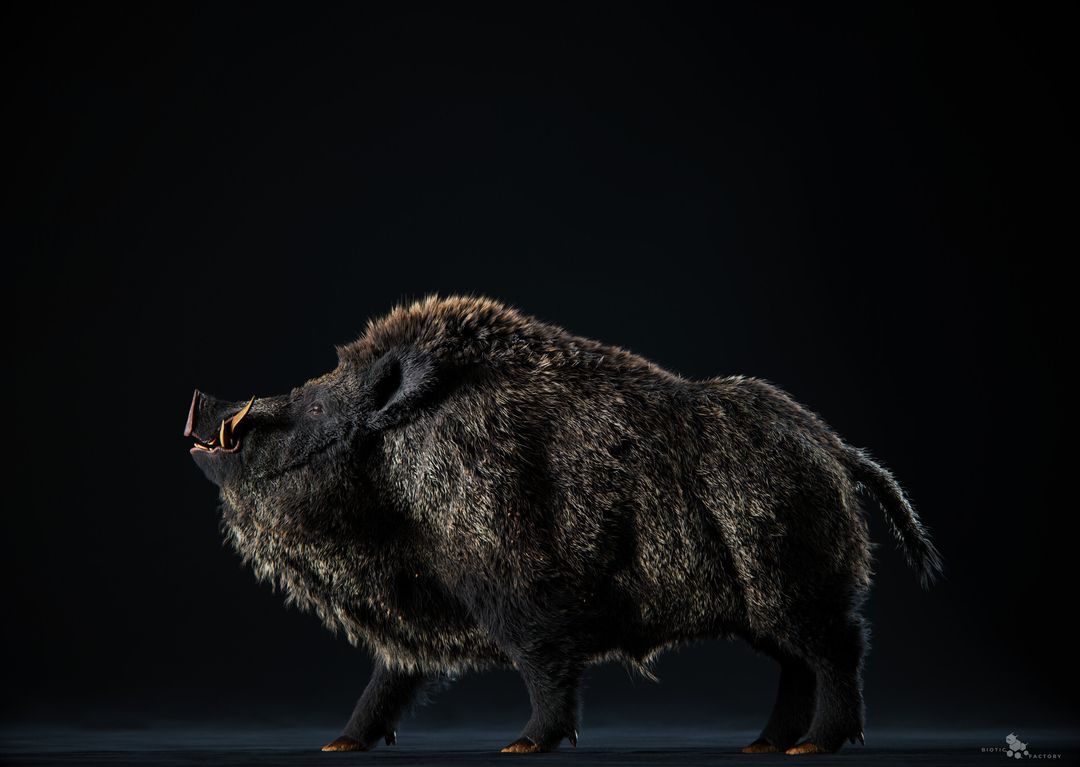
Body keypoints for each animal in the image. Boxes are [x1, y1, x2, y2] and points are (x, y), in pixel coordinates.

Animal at [185, 295, 942, 755]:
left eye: (315, 406)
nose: (201, 401)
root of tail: (837, 451)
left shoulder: (519, 585)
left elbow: (542, 664)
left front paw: (520, 745)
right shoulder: (417, 624)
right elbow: (388, 678)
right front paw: (338, 743)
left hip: (797, 582)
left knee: (841, 648)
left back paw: (813, 744)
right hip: (770, 606)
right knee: (796, 663)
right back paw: (763, 745)